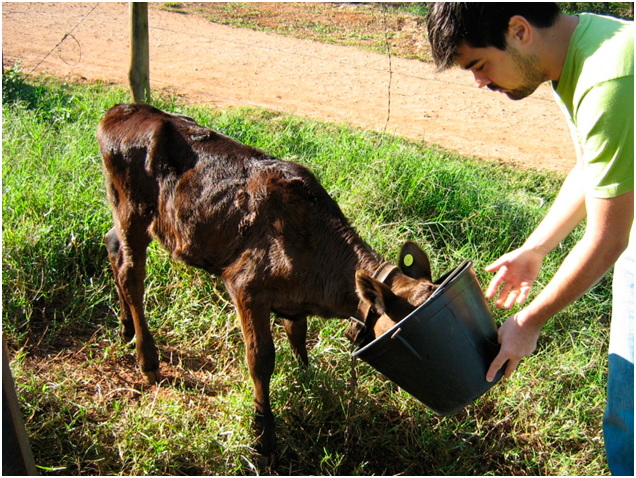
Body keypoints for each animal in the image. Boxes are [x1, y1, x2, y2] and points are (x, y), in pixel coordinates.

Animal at [98, 103, 438, 464]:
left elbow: (298, 336)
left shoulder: (295, 300)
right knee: (131, 275)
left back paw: (125, 329)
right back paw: (148, 359)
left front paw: (307, 379)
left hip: (124, 212)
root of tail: (123, 109)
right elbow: (261, 359)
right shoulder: (246, 288)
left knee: (112, 245)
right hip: (132, 212)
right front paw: (263, 436)